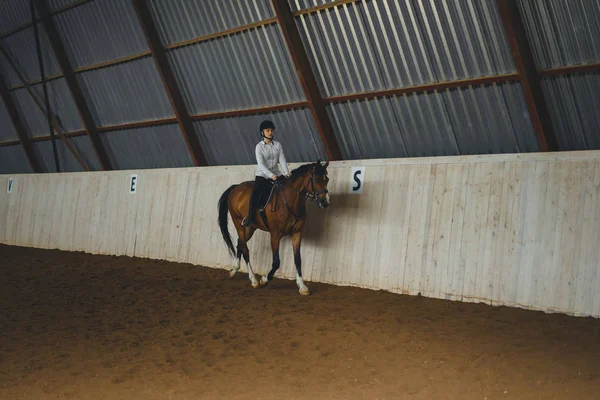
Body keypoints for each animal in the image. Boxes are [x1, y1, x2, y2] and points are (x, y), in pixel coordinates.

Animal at [217, 161, 330, 296]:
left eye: (327, 179)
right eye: (317, 179)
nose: (325, 202)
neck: (290, 201)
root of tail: (236, 187)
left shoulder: (297, 233)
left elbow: (298, 259)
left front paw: (302, 286)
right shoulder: (275, 235)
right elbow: (276, 262)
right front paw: (264, 280)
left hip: (250, 228)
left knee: (240, 243)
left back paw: (234, 271)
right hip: (238, 223)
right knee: (245, 248)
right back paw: (254, 280)